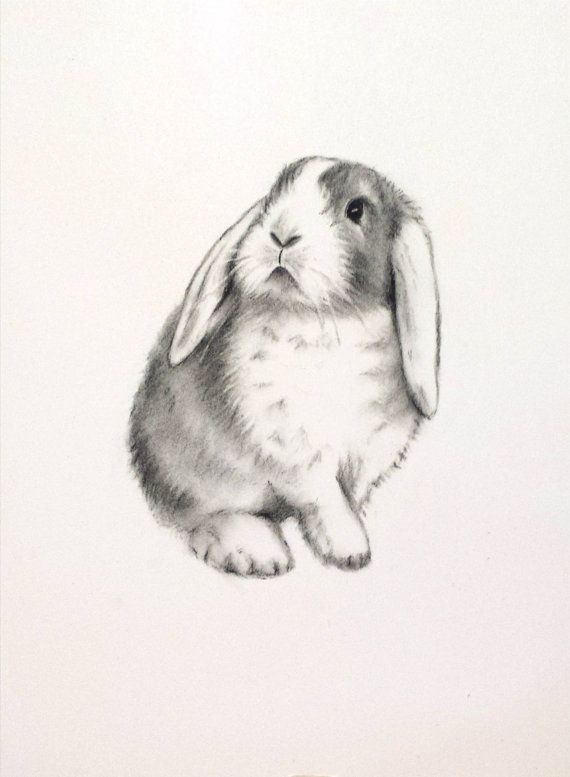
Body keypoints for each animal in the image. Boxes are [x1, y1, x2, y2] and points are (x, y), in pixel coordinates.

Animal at [129, 156, 440, 577]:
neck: (323, 319)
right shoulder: (291, 444)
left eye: (356, 210)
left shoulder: (369, 448)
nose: (281, 235)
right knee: (203, 513)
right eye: (273, 197)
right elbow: (325, 496)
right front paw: (350, 548)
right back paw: (255, 552)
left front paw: (346, 541)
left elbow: (347, 494)